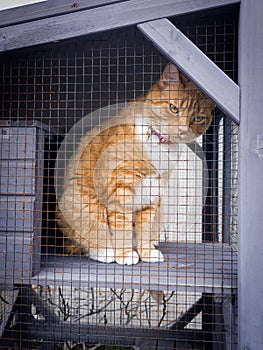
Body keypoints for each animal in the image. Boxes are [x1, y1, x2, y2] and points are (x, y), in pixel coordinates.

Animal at [56, 63, 216, 266]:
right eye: (173, 108)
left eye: (197, 118)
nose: (182, 129)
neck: (158, 142)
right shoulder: (120, 190)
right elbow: (121, 226)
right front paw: (124, 254)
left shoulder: (153, 192)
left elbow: (145, 227)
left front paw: (146, 252)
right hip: (79, 205)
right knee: (83, 242)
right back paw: (105, 252)